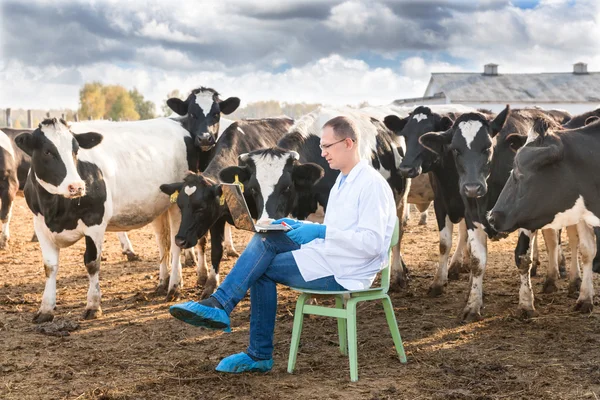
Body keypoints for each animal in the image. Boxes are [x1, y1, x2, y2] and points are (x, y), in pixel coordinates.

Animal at [14, 115, 202, 322]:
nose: (77, 186)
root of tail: (175, 120)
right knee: (163, 242)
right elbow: (49, 267)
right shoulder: (40, 226)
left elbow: (92, 263)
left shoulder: (94, 222)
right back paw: (162, 283)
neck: (55, 208)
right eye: (47, 151)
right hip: (159, 207)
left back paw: (174, 287)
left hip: (178, 205)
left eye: (76, 150)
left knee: (176, 245)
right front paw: (45, 309)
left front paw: (93, 305)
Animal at [158, 115, 292, 296]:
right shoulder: (217, 218)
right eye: (180, 206)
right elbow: (216, 250)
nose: (179, 240)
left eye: (201, 207)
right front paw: (211, 284)